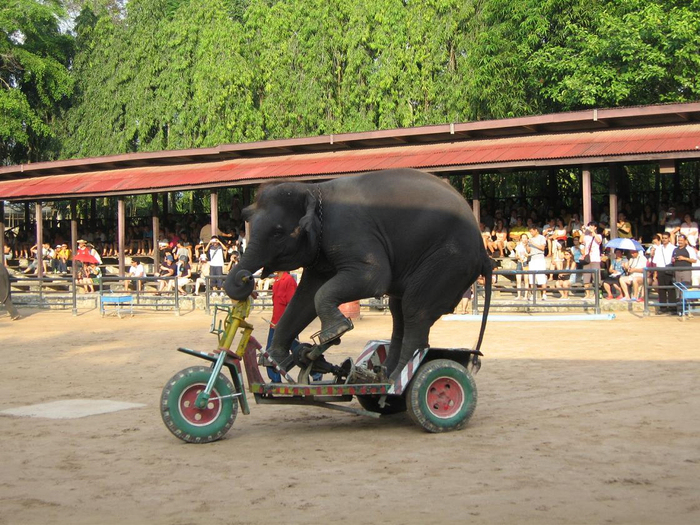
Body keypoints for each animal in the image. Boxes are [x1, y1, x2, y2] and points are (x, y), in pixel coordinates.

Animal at [224, 168, 492, 380]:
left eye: (278, 232)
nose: (245, 277)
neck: (314, 189)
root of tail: (483, 251)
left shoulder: (348, 230)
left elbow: (373, 277)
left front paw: (335, 333)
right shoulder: (321, 252)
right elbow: (306, 296)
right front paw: (275, 360)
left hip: (449, 261)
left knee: (415, 309)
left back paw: (396, 379)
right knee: (399, 311)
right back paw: (384, 374)